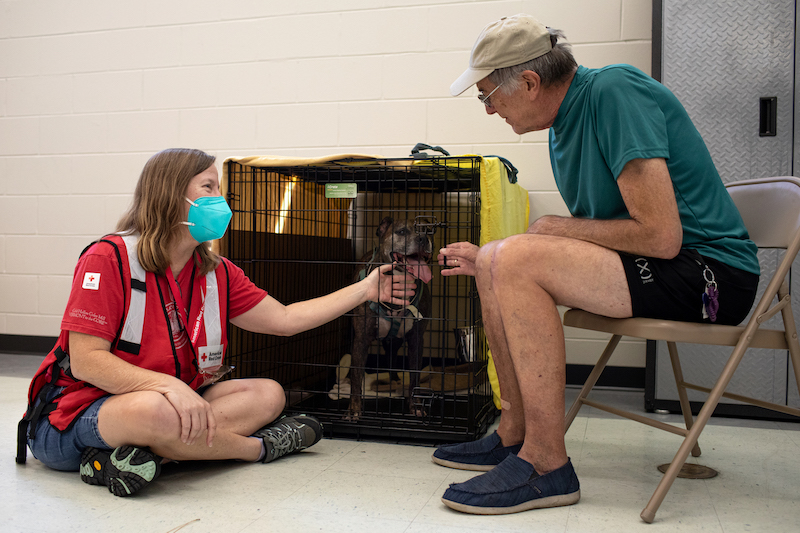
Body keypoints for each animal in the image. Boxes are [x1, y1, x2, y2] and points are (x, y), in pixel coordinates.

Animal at [348, 214, 434, 418]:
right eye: (402, 231)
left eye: (428, 230)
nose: (423, 238)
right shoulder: (361, 339)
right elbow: (356, 375)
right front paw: (354, 409)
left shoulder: (416, 339)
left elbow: (414, 375)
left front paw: (415, 406)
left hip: (394, 341)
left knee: (392, 357)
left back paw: (394, 379)